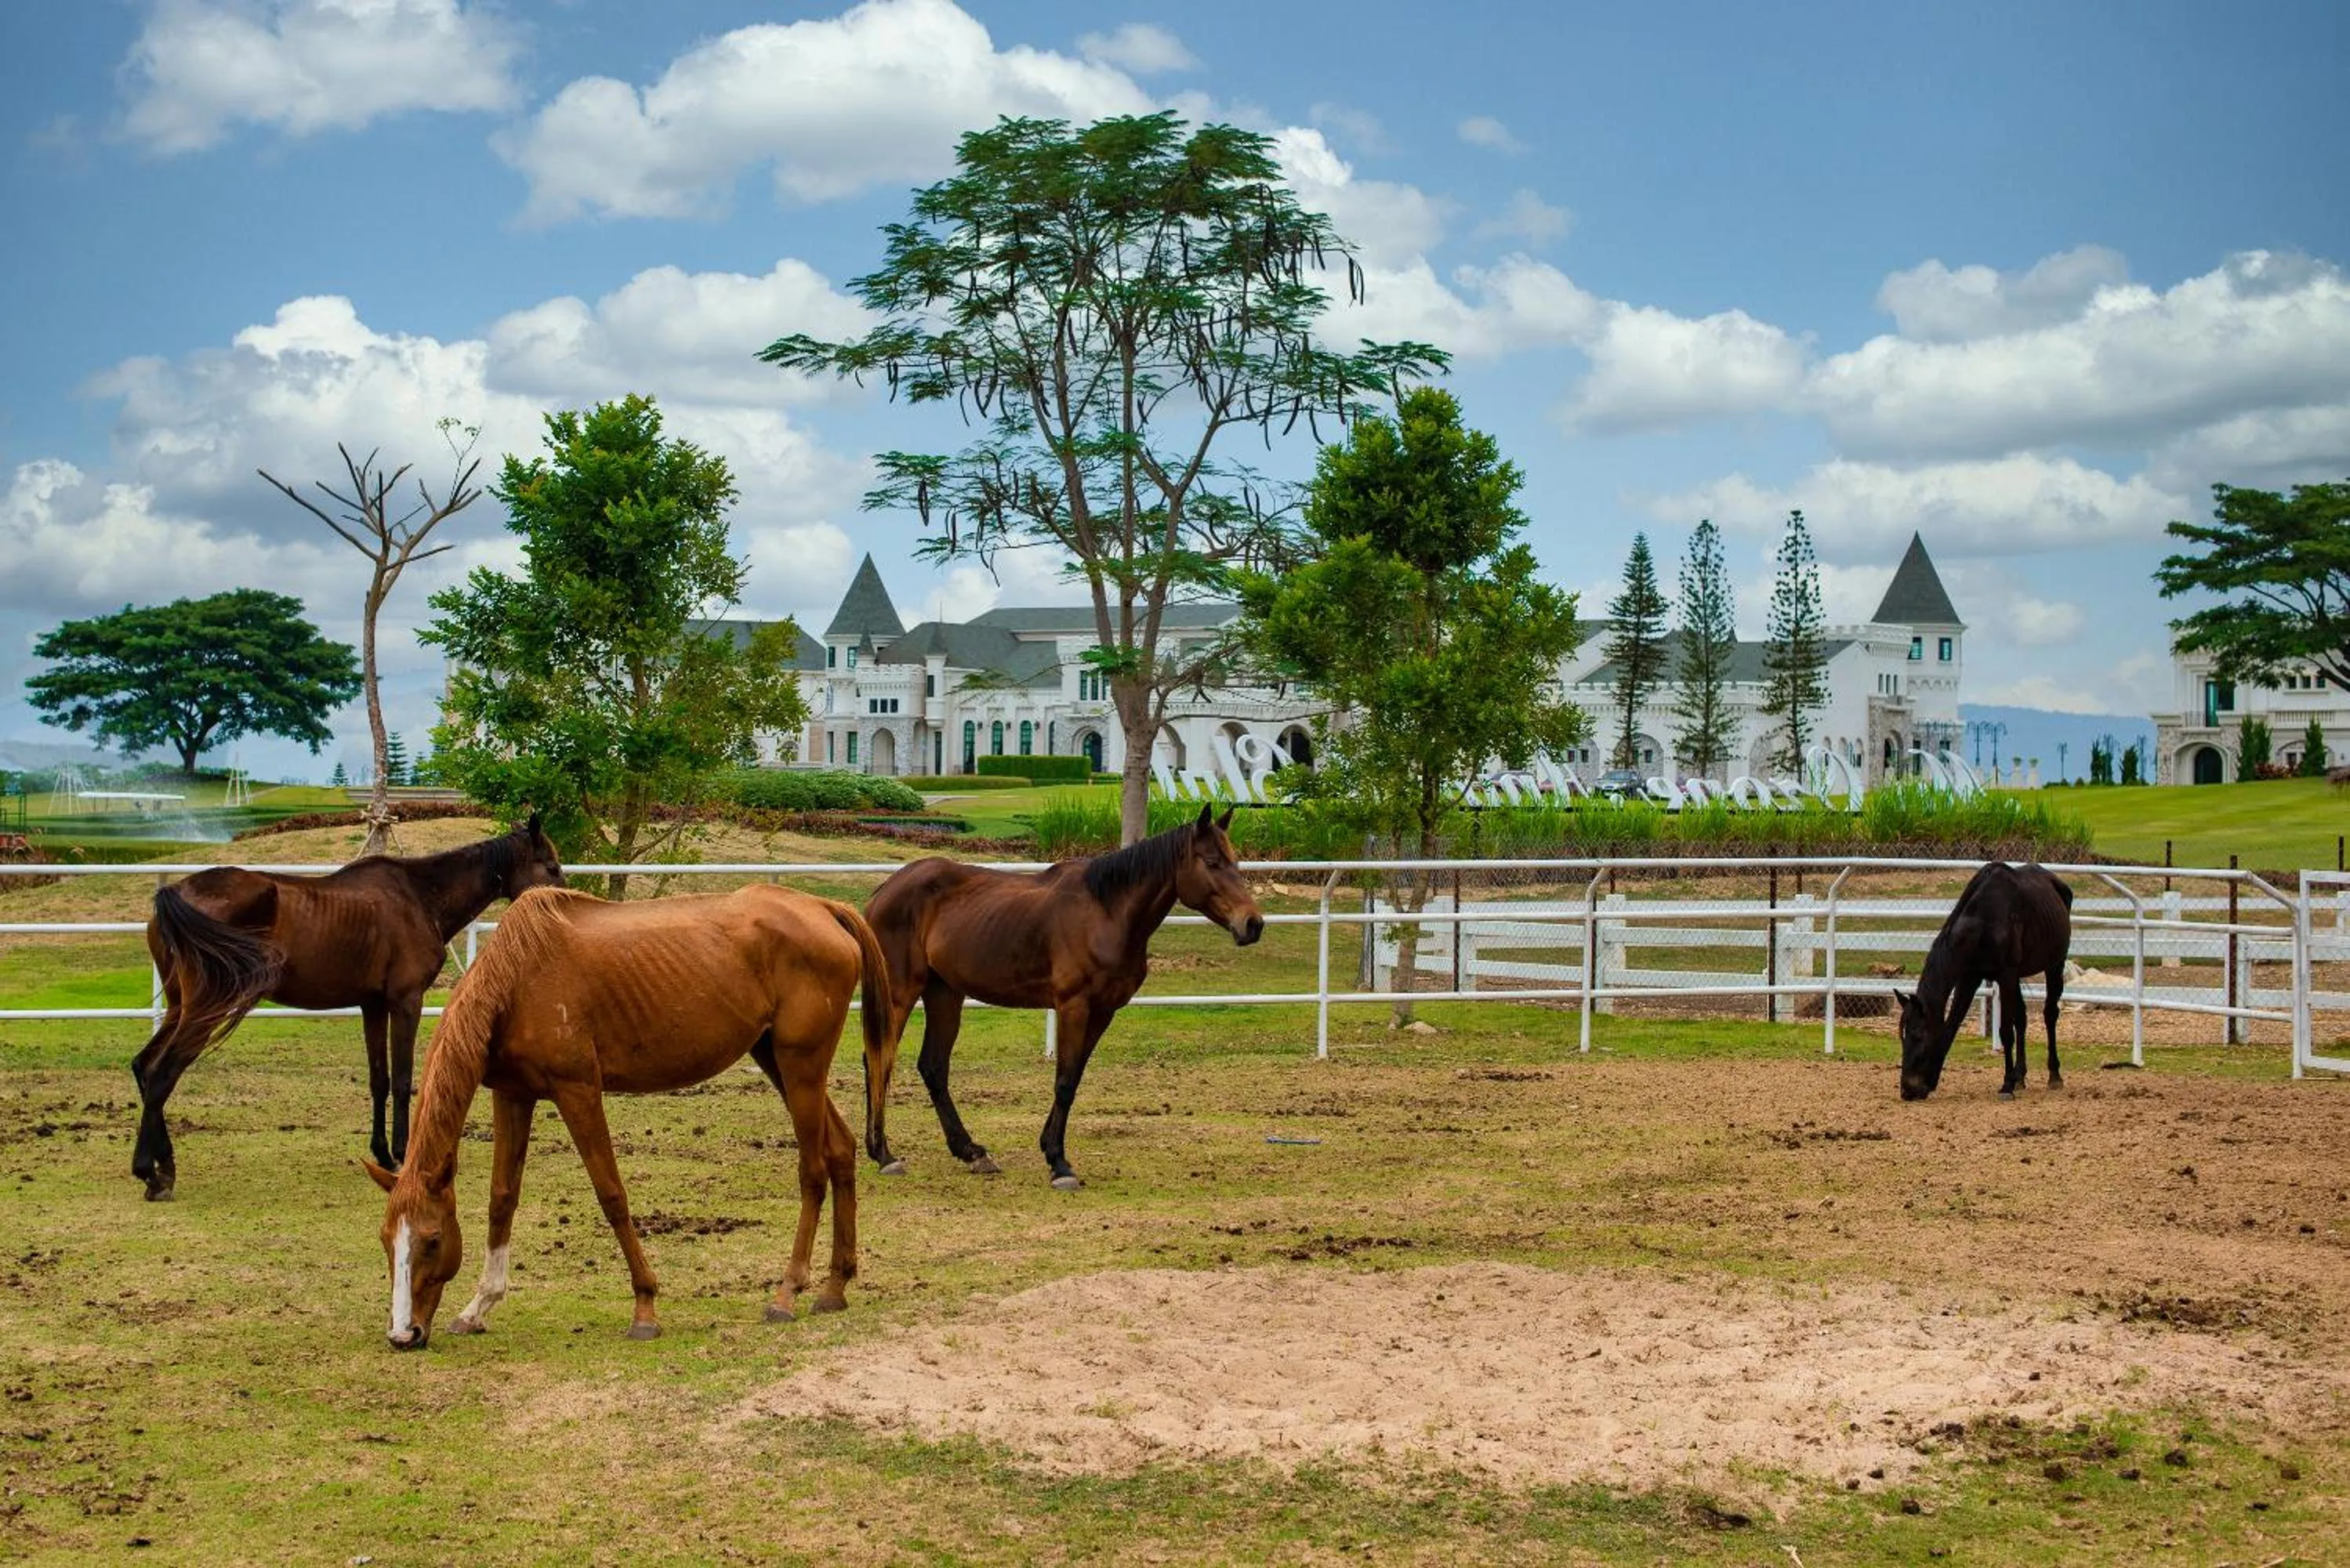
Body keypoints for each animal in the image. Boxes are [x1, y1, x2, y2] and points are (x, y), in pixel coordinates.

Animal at [131, 814, 565, 1200]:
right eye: (552, 867)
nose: (566, 907)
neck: (417, 897)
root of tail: (175, 895)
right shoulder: (406, 1002)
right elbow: (403, 1080)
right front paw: (403, 1154)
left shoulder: (372, 1005)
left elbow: (379, 1080)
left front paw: (383, 1153)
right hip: (205, 1008)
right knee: (162, 1074)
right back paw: (152, 1173)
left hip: (181, 1008)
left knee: (144, 1066)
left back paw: (161, 1166)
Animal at [364, 882, 887, 1348]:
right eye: (387, 1240)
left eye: (433, 1239)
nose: (403, 1335)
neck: (519, 977)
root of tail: (824, 908)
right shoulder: (513, 1095)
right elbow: (502, 1199)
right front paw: (478, 1308)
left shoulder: (578, 1093)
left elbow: (611, 1194)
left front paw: (645, 1307)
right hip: (778, 1060)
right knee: (841, 1150)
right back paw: (835, 1287)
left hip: (801, 1067)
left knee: (813, 1171)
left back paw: (787, 1293)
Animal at [861, 801, 1264, 1190]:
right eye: (1212, 862)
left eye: (1235, 861)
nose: (1253, 924)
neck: (1106, 913)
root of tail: (884, 891)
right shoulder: (1073, 1006)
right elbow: (1065, 1081)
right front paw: (1059, 1164)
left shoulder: (1103, 1012)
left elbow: (1074, 1077)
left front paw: (1048, 1148)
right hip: (900, 994)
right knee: (878, 1060)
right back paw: (884, 1154)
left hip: (945, 994)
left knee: (933, 1066)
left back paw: (971, 1151)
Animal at [1895, 861, 2074, 1102]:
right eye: (1902, 1036)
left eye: (1917, 1035)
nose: (1908, 1089)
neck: (1983, 923)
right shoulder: (1970, 978)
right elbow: (1954, 1022)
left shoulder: (2006, 975)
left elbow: (2005, 1031)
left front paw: (2007, 1085)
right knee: (2022, 1018)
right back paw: (2020, 1076)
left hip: (2054, 965)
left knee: (2050, 1015)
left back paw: (2054, 1076)